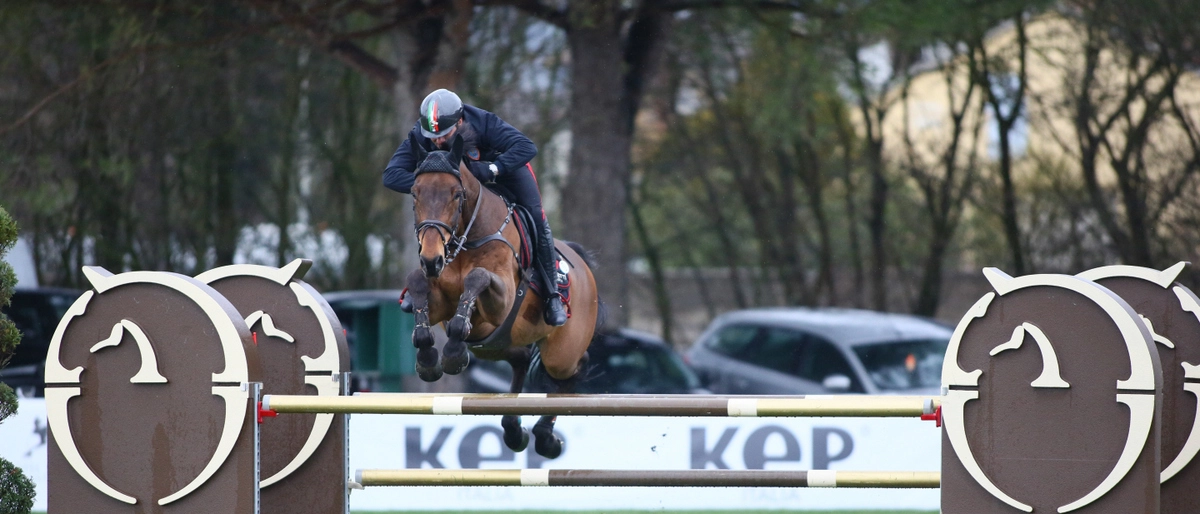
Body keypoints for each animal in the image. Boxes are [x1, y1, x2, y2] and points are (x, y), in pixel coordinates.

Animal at [403, 133, 604, 458]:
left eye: (456, 195)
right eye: (414, 193)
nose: (432, 259)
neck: (467, 238)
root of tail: (582, 263)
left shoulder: (501, 303)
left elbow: (477, 278)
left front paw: (452, 354)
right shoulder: (442, 303)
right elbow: (417, 285)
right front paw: (429, 360)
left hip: (561, 352)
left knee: (573, 368)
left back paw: (546, 437)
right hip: (497, 344)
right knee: (520, 359)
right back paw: (513, 429)